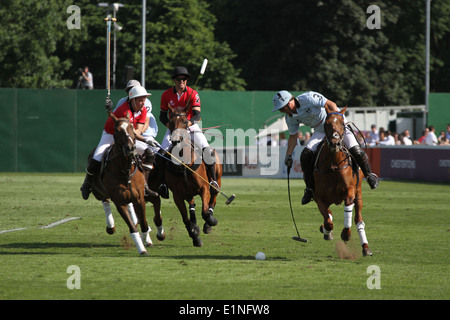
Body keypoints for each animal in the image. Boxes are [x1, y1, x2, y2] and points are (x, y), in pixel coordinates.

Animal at [89, 114, 153, 256]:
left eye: (131, 127)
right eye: (117, 131)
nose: (130, 148)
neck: (125, 170)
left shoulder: (139, 198)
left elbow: (144, 223)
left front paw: (147, 240)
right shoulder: (119, 202)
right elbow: (132, 228)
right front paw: (142, 249)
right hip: (97, 191)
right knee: (105, 201)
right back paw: (110, 226)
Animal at [164, 109, 222, 246]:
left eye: (185, 122)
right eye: (170, 122)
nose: (175, 140)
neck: (184, 165)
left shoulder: (204, 188)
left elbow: (205, 213)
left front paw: (211, 222)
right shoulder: (177, 195)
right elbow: (185, 219)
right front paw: (195, 235)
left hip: (217, 179)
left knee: (213, 197)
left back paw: (208, 224)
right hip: (187, 192)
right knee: (192, 204)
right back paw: (195, 224)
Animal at [312, 108, 372, 258]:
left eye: (342, 123)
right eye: (326, 123)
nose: (335, 143)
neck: (333, 165)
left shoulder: (350, 192)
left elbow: (348, 212)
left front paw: (346, 234)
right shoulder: (319, 197)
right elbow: (328, 222)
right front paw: (326, 231)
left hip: (359, 193)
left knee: (358, 220)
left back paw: (366, 247)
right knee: (329, 216)